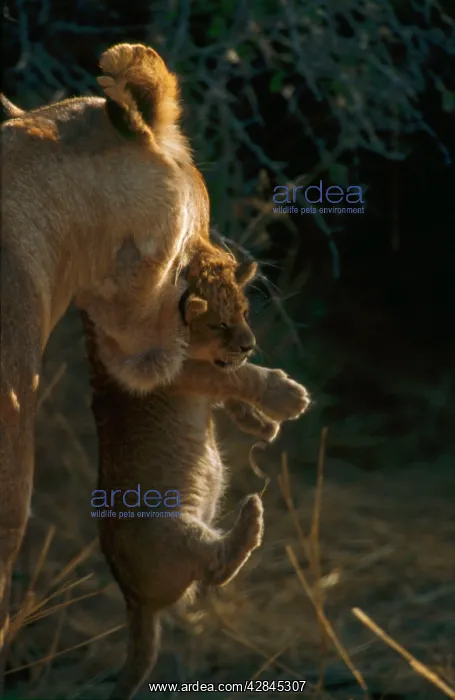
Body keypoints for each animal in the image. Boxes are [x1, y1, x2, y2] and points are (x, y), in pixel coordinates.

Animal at [82, 241, 310, 700]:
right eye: (219, 323)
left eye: (245, 312)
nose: (250, 344)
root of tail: (135, 601)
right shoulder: (179, 370)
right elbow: (242, 378)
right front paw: (287, 396)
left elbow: (232, 385)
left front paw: (263, 425)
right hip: (176, 532)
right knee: (216, 569)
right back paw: (252, 514)